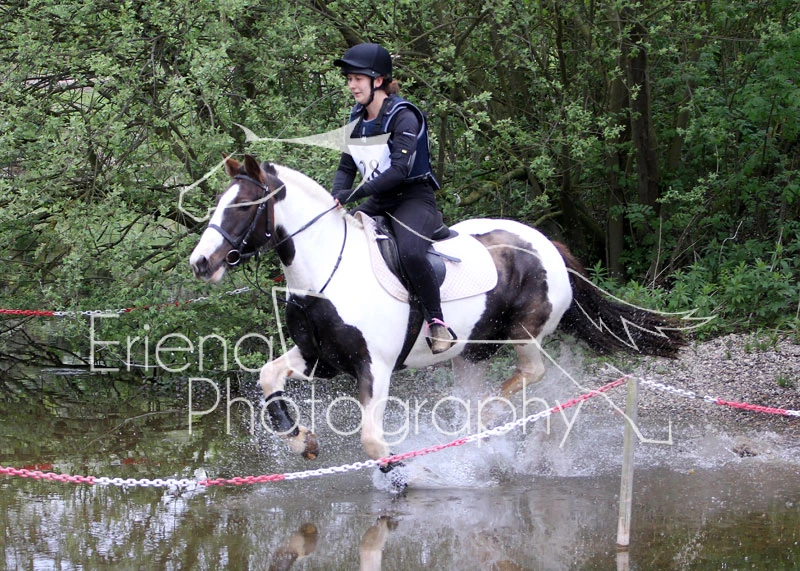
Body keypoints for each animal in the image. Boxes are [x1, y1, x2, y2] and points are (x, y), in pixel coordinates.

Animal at [189, 154, 685, 476]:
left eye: (243, 206)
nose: (201, 263)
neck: (326, 273)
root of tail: (547, 244)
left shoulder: (374, 368)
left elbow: (372, 441)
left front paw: (397, 477)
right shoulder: (320, 359)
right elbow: (268, 376)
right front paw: (300, 440)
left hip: (524, 333)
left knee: (532, 373)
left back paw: (490, 418)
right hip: (472, 352)